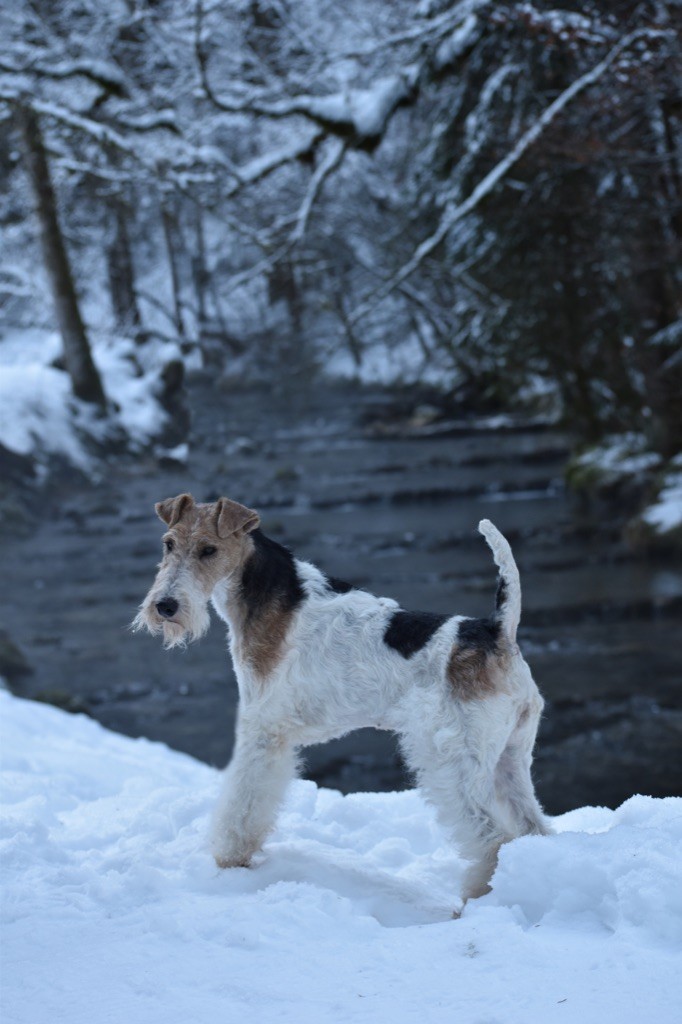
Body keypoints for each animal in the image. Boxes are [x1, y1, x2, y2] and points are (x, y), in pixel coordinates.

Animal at [135, 495, 548, 905]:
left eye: (209, 550)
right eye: (168, 544)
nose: (165, 606)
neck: (262, 593)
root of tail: (498, 631)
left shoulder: (263, 729)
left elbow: (244, 801)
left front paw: (230, 857)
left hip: (452, 757)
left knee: (492, 838)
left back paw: (473, 902)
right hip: (509, 758)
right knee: (532, 827)